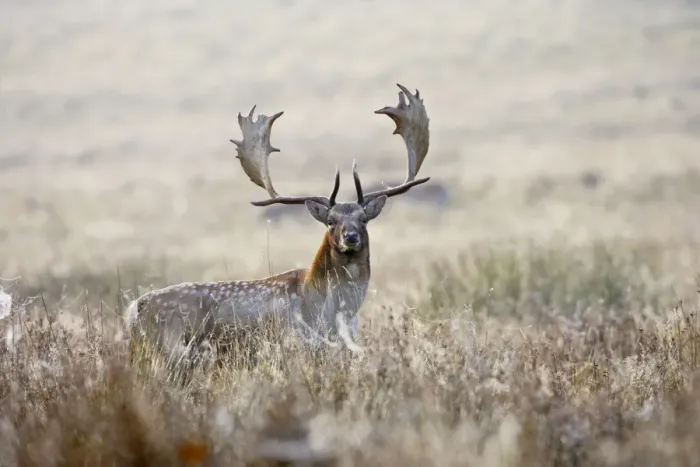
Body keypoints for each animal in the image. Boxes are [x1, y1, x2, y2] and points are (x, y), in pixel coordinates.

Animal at [123, 83, 431, 366]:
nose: (351, 237)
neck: (334, 309)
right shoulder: (299, 339)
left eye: (363, 218)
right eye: (330, 221)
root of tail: (133, 310)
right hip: (171, 347)